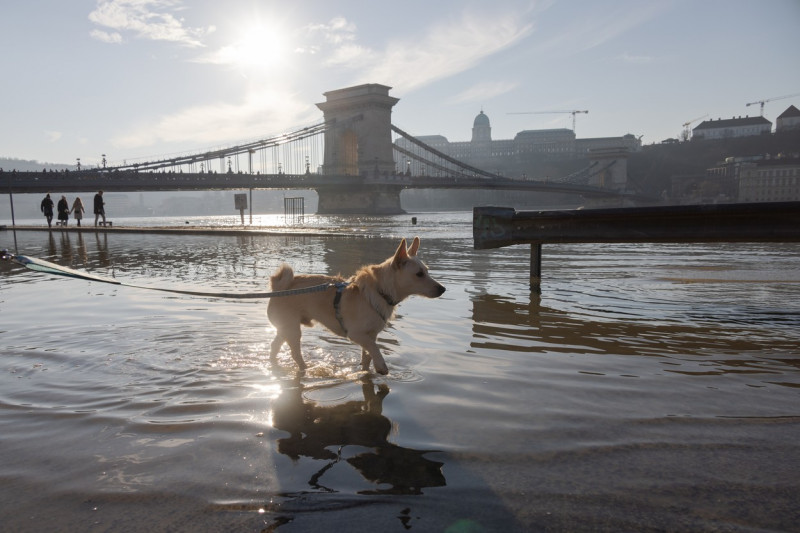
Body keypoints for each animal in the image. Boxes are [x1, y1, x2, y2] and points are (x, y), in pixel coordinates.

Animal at [268, 237, 444, 374]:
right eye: (419, 274)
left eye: (427, 271)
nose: (443, 289)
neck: (380, 291)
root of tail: (280, 288)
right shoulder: (357, 334)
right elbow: (375, 348)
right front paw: (381, 366)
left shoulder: (371, 334)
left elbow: (367, 355)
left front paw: (366, 371)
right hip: (292, 329)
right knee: (294, 353)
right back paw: (306, 368)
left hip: (286, 329)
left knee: (274, 346)